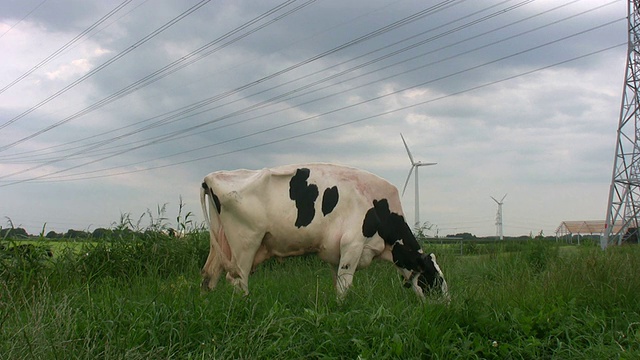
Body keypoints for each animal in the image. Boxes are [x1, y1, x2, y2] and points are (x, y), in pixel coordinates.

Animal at [200, 164, 450, 300]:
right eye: (436, 279)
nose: (447, 305)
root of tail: (210, 177)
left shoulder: (335, 253)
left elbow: (337, 284)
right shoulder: (352, 246)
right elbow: (344, 286)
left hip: (221, 244)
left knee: (208, 276)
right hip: (245, 243)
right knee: (237, 280)